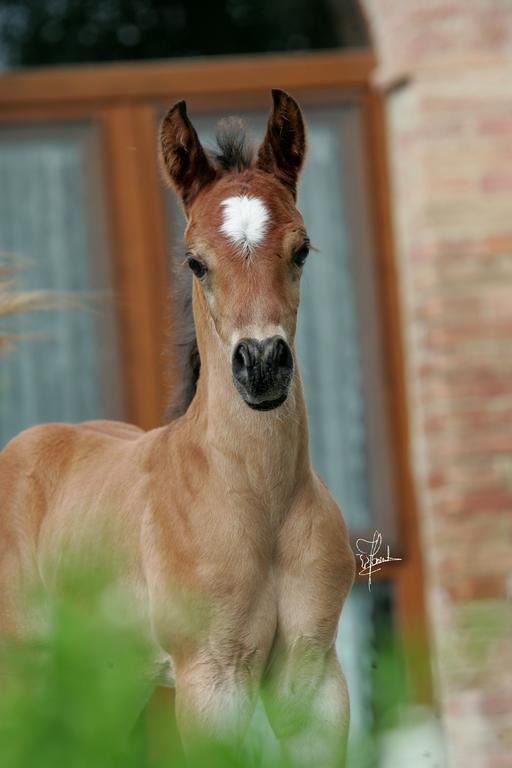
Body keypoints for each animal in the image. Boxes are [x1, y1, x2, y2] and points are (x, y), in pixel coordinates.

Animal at [0, 93, 354, 764]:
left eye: (302, 248)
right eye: (196, 262)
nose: (262, 364)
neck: (258, 502)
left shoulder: (314, 677)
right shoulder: (211, 680)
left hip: (109, 679)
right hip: (25, 674)